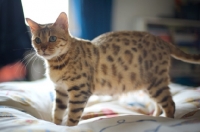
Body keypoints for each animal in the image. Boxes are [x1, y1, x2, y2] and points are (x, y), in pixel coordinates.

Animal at [25, 12, 200, 126]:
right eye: (37, 40)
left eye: (52, 38)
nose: (43, 49)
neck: (56, 65)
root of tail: (162, 40)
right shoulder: (61, 91)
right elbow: (57, 112)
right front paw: (55, 126)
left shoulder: (79, 91)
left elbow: (73, 116)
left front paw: (68, 128)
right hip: (150, 85)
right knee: (159, 104)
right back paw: (157, 117)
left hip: (155, 83)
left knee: (170, 104)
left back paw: (167, 121)